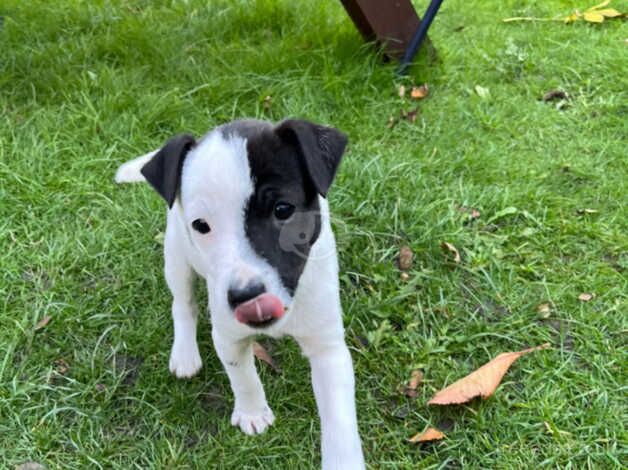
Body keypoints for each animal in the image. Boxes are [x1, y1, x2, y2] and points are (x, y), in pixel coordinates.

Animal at [115, 119, 366, 468]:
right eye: (201, 225)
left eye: (283, 209)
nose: (247, 298)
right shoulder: (228, 335)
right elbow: (243, 377)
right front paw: (253, 412)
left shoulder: (328, 346)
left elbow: (339, 419)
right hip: (176, 254)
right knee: (183, 303)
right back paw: (185, 352)